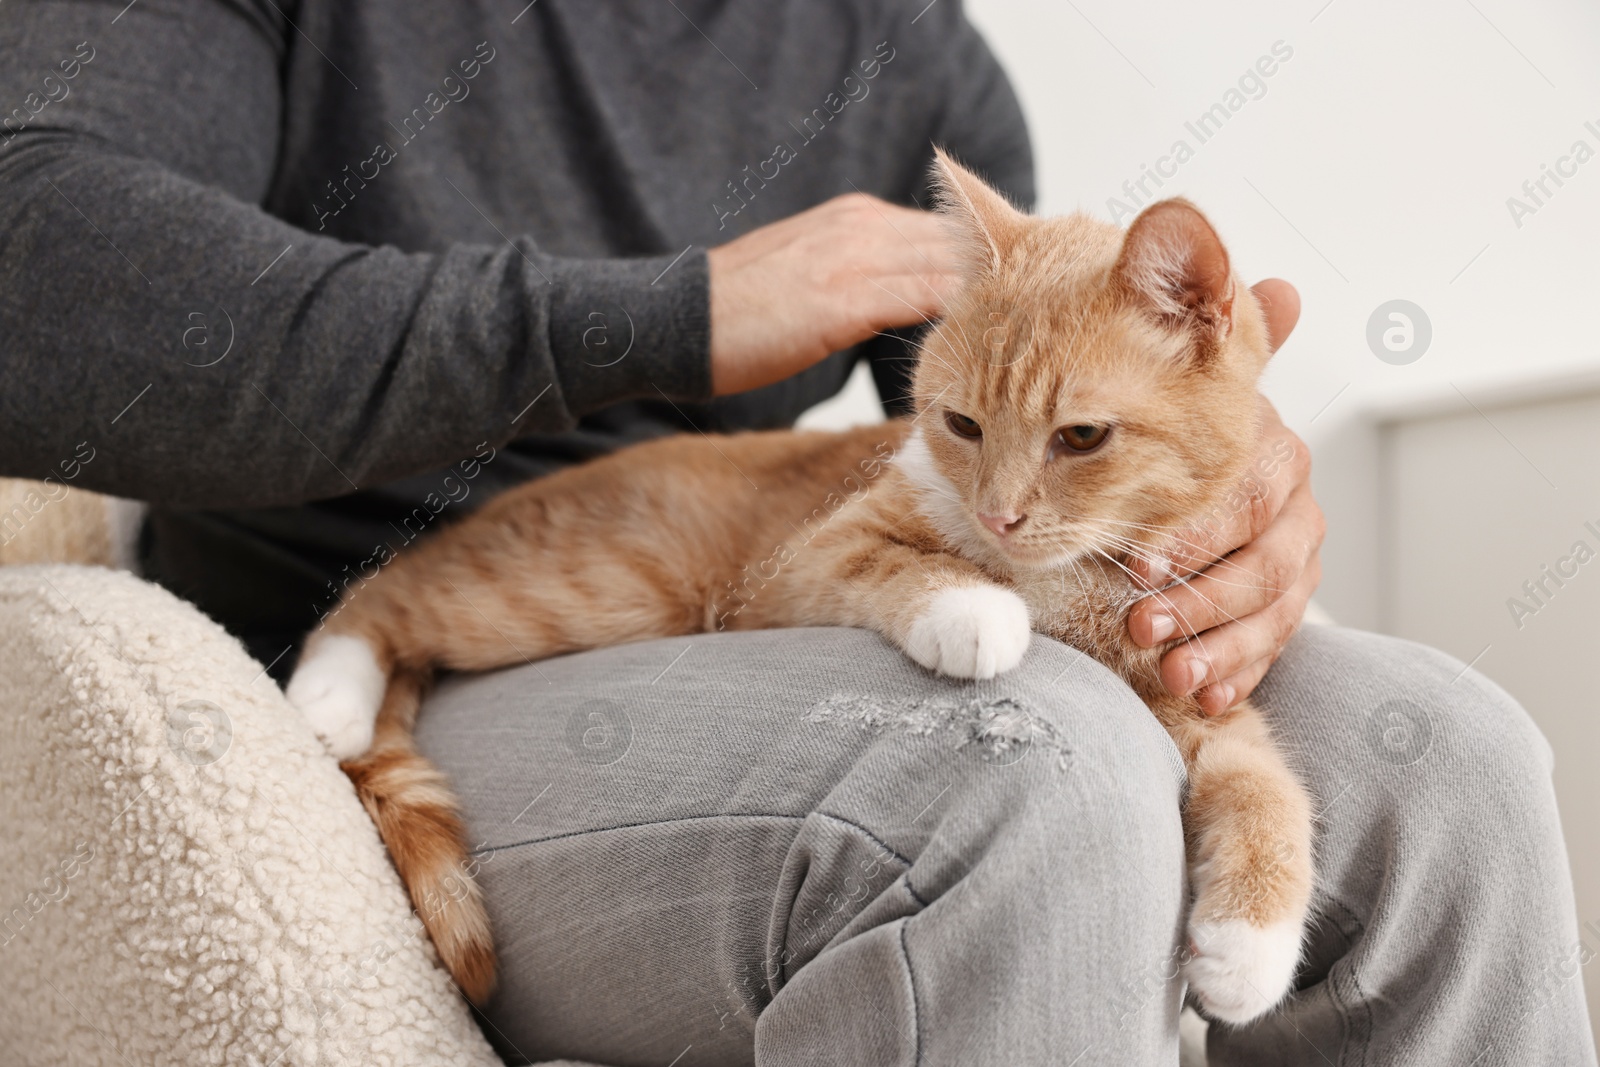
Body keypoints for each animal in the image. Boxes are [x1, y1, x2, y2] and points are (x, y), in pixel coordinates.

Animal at [288, 150, 1312, 1023]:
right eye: (963, 425)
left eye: (1083, 437)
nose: (998, 518)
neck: (1073, 577)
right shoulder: (805, 562)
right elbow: (906, 566)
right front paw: (979, 611)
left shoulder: (1189, 679)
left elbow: (1267, 783)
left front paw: (1247, 948)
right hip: (602, 588)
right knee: (386, 589)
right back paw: (327, 699)